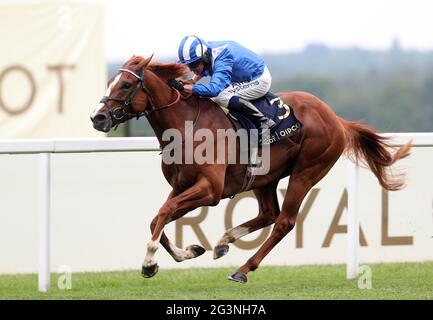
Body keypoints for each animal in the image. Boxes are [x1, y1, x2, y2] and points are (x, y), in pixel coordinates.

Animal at [90, 55, 408, 282]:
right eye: (110, 81)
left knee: (284, 222)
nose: (98, 117)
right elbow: (157, 218)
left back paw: (242, 269)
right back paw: (223, 242)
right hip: (264, 177)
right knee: (269, 213)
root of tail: (335, 118)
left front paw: (149, 262)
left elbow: (165, 212)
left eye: (126, 85)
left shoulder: (210, 189)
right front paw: (188, 252)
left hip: (306, 172)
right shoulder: (181, 186)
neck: (185, 125)